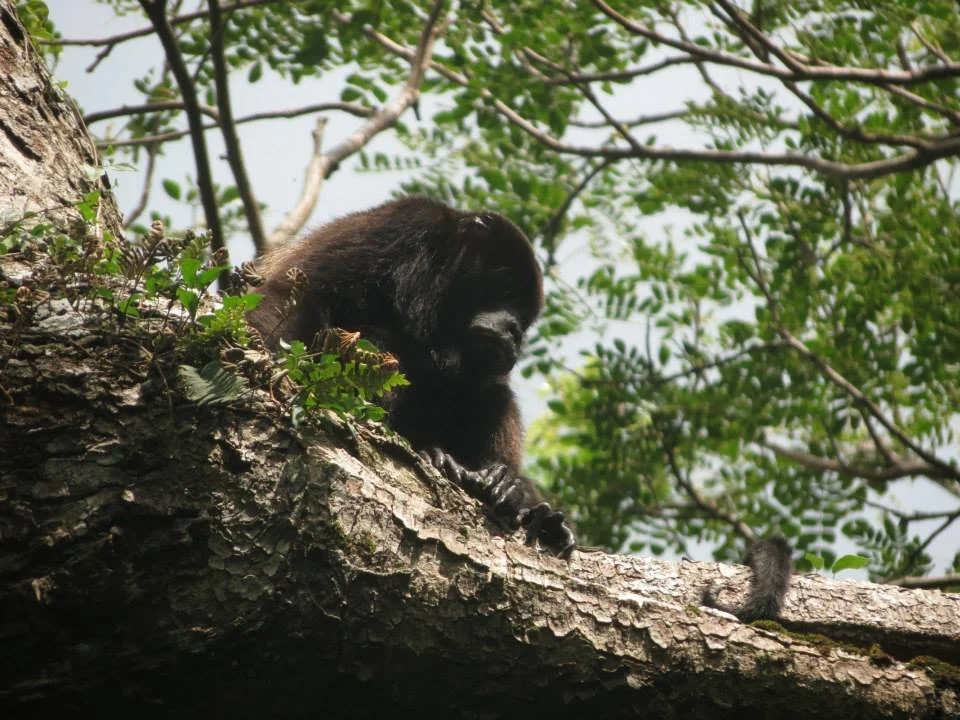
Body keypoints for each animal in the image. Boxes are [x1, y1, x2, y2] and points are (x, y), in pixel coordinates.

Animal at [247, 196, 576, 557]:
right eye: (506, 289)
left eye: (525, 318)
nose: (514, 331)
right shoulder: (403, 225)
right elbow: (298, 294)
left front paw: (516, 490)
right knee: (377, 341)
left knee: (492, 392)